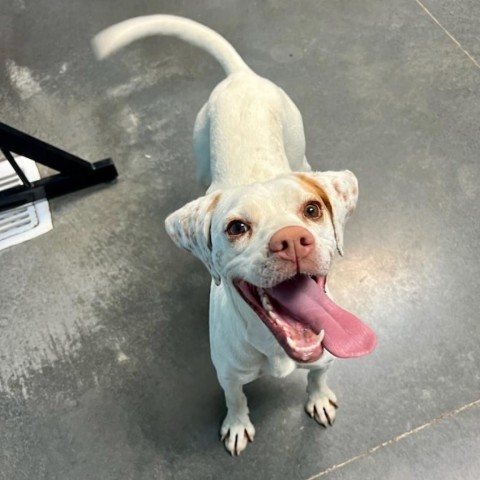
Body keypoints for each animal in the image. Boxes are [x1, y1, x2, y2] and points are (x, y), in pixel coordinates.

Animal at [93, 15, 376, 456]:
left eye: (312, 210)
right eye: (237, 227)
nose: (292, 240)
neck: (276, 347)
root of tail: (242, 76)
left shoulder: (325, 355)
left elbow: (317, 375)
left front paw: (317, 398)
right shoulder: (226, 373)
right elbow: (236, 397)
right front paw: (238, 424)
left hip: (299, 149)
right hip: (200, 157)